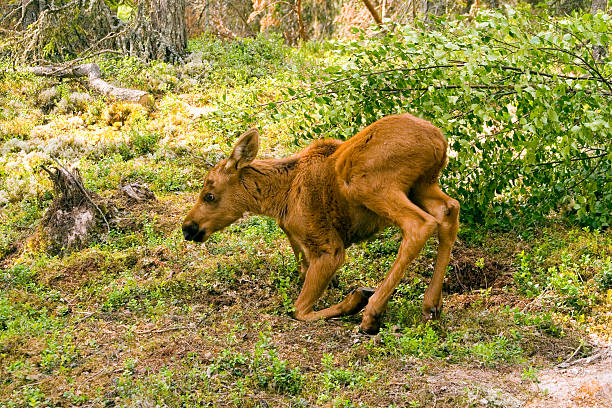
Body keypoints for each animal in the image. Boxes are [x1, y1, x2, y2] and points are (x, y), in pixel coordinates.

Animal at [182, 113, 460, 334]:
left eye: (209, 195)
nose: (188, 227)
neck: (279, 197)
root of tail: (439, 141)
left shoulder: (329, 249)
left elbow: (298, 310)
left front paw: (355, 299)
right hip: (423, 185)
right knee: (449, 210)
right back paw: (431, 306)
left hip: (369, 184)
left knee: (419, 224)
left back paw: (372, 313)